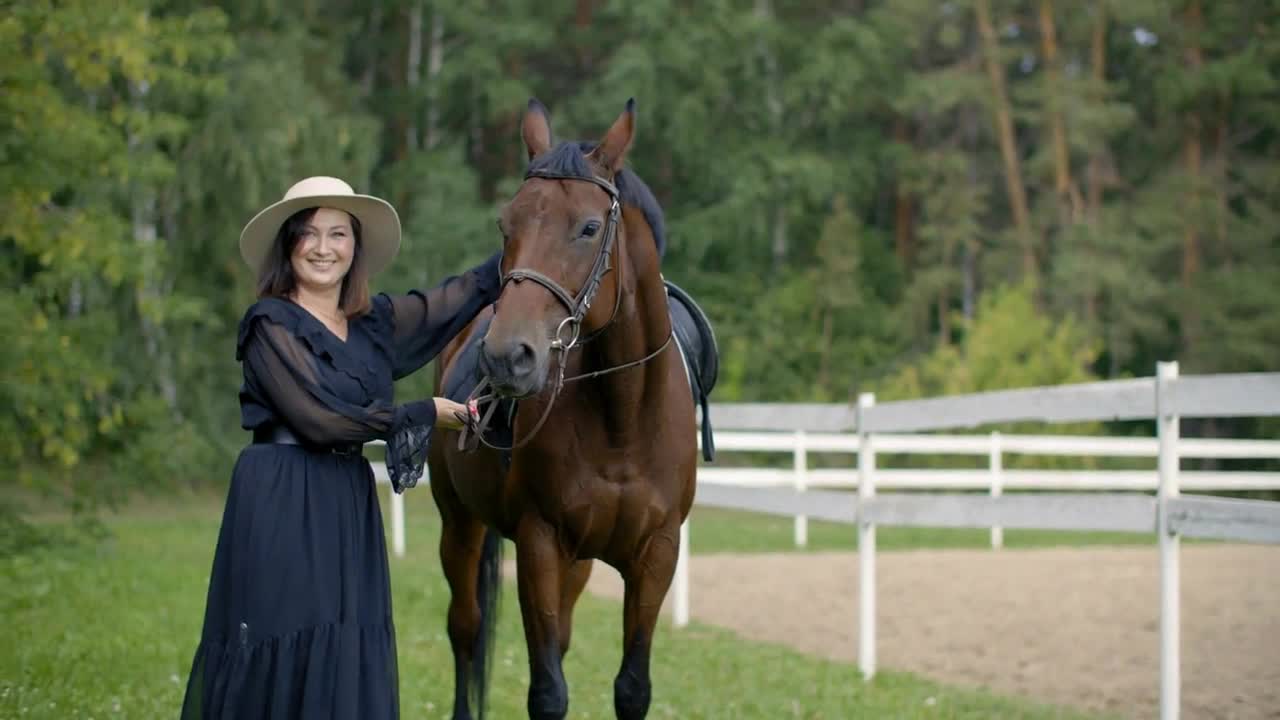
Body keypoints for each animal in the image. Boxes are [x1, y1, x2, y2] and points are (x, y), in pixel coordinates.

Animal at [424, 99, 696, 717]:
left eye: (589, 228)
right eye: (507, 225)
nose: (506, 356)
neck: (623, 420)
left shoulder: (656, 555)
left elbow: (632, 688)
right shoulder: (540, 545)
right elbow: (547, 690)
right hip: (460, 525)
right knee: (465, 630)